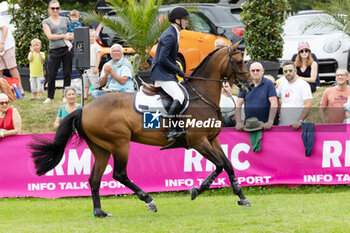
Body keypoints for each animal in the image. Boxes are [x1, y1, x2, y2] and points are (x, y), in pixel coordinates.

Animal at [30, 41, 253, 218]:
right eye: (239, 62)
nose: (250, 85)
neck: (202, 95)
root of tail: (84, 109)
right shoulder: (199, 142)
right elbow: (219, 165)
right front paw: (197, 190)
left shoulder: (213, 139)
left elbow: (228, 165)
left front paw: (242, 197)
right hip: (120, 143)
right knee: (119, 174)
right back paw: (148, 200)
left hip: (101, 149)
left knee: (94, 179)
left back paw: (100, 212)